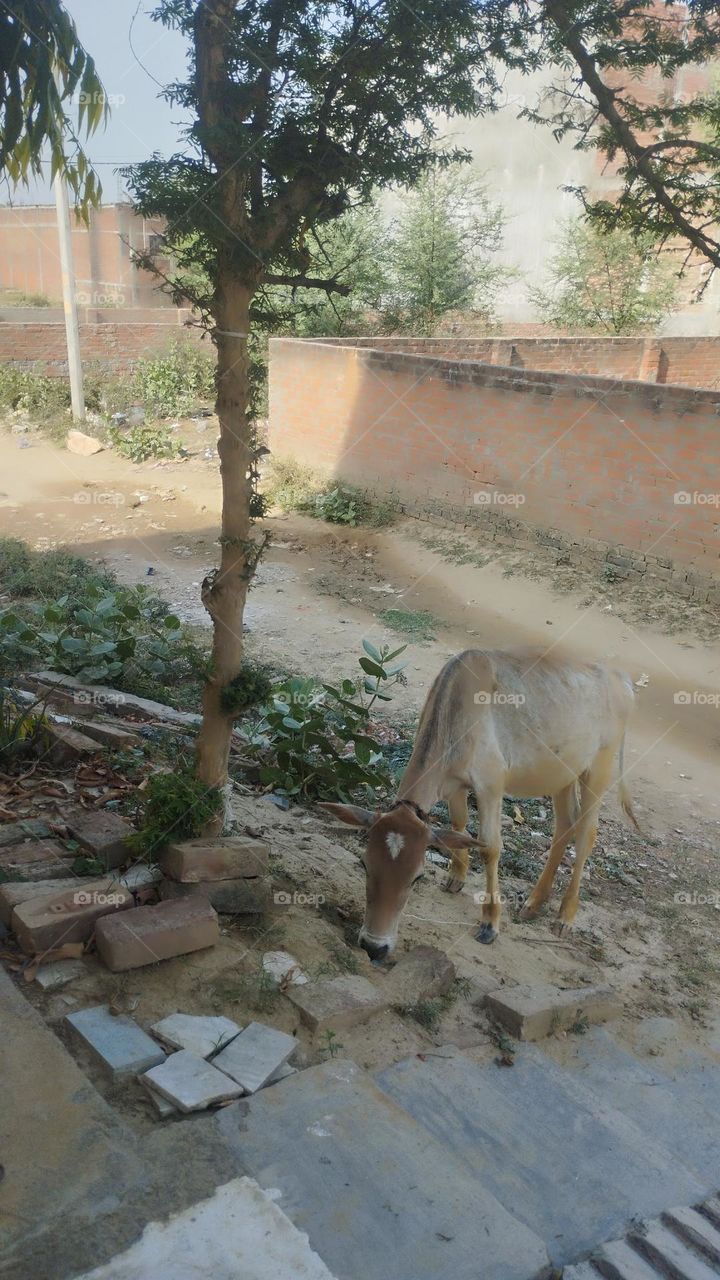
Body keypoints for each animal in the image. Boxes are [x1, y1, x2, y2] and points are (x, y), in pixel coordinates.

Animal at [321, 646, 639, 960]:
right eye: (364, 864)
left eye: (417, 877)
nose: (374, 947)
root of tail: (622, 678)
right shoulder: (454, 783)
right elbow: (458, 824)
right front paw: (455, 878)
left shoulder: (491, 784)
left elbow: (490, 846)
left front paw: (490, 922)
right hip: (562, 773)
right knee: (565, 824)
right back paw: (533, 902)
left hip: (599, 767)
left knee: (587, 833)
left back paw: (565, 916)